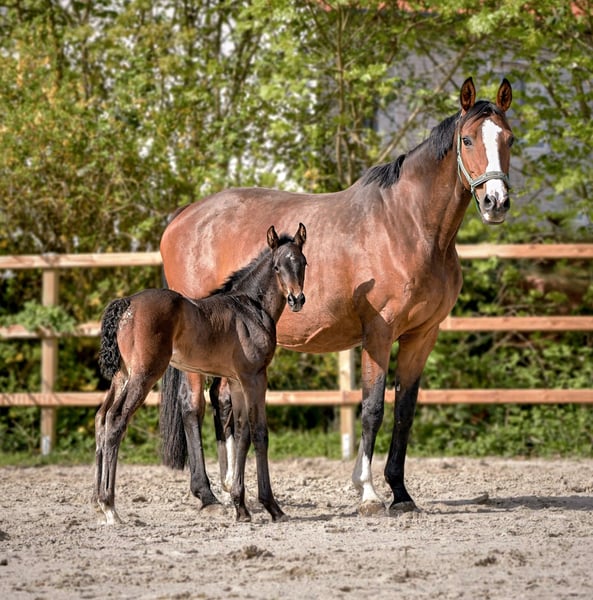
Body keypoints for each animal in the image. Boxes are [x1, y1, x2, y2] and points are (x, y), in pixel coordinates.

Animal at [93, 223, 307, 524]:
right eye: (277, 267)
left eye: (302, 263)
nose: (296, 299)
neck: (250, 308)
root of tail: (127, 303)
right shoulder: (255, 377)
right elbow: (259, 432)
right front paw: (271, 507)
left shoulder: (237, 381)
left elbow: (241, 434)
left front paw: (240, 506)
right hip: (143, 375)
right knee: (115, 420)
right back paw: (110, 508)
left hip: (122, 376)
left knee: (102, 417)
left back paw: (98, 502)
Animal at [159, 77, 514, 515]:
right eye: (467, 140)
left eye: (509, 139)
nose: (496, 202)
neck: (408, 225)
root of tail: (183, 218)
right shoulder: (378, 334)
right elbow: (372, 408)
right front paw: (369, 493)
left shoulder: (422, 336)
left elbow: (405, 412)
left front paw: (401, 493)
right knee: (192, 405)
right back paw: (206, 494)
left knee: (221, 401)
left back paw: (228, 490)